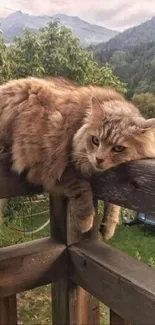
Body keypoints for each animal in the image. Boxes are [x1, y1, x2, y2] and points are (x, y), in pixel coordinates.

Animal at [0, 76, 155, 238]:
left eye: (118, 148)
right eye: (95, 140)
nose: (98, 159)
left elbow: (113, 203)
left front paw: (108, 227)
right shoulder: (65, 166)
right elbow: (82, 190)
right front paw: (85, 223)